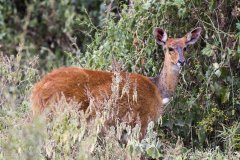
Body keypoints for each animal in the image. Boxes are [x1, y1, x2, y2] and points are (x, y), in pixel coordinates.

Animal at [31, 27, 202, 138]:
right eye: (169, 48)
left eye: (185, 48)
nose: (182, 62)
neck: (158, 90)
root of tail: (36, 91)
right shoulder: (141, 122)